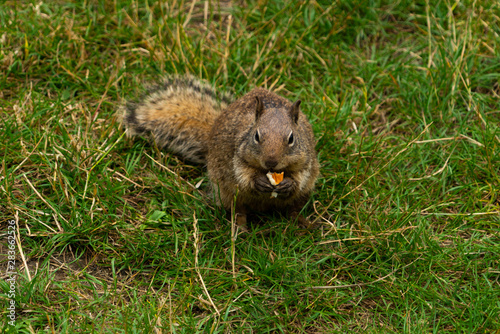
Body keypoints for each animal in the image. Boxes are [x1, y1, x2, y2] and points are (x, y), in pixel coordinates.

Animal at [119, 75, 318, 227]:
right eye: (256, 136)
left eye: (291, 138)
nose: (271, 162)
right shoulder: (237, 157)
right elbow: (244, 175)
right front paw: (258, 181)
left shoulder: (306, 159)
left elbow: (301, 175)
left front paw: (289, 183)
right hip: (228, 193)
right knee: (238, 211)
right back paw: (239, 229)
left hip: (305, 193)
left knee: (293, 208)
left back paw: (302, 223)